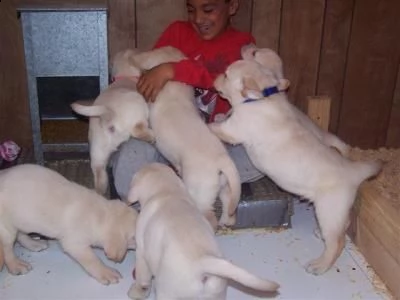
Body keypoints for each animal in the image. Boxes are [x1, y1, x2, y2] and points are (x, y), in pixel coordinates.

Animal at [0, 164, 138, 284]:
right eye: (135, 238)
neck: (100, 215)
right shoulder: (75, 244)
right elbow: (92, 260)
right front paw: (106, 272)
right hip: (6, 227)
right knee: (8, 248)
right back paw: (16, 265)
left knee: (20, 234)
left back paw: (33, 243)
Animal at [71, 49, 154, 195]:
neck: (125, 76)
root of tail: (108, 114)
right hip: (138, 107)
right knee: (138, 130)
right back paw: (151, 137)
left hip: (98, 155)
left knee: (100, 180)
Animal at [125, 164, 278, 300]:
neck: (167, 191)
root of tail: (203, 264)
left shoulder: (142, 250)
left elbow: (142, 276)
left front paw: (138, 291)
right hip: (216, 294)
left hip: (168, 293)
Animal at [130, 47, 241, 229]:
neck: (173, 88)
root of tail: (222, 160)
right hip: (225, 186)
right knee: (228, 206)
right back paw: (227, 221)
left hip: (199, 192)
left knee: (209, 215)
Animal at [209, 59, 382, 276]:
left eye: (225, 74)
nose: (214, 77)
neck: (263, 97)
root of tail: (354, 171)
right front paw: (220, 115)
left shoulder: (234, 130)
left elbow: (217, 128)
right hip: (337, 211)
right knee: (344, 226)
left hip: (328, 209)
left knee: (338, 242)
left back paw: (320, 265)